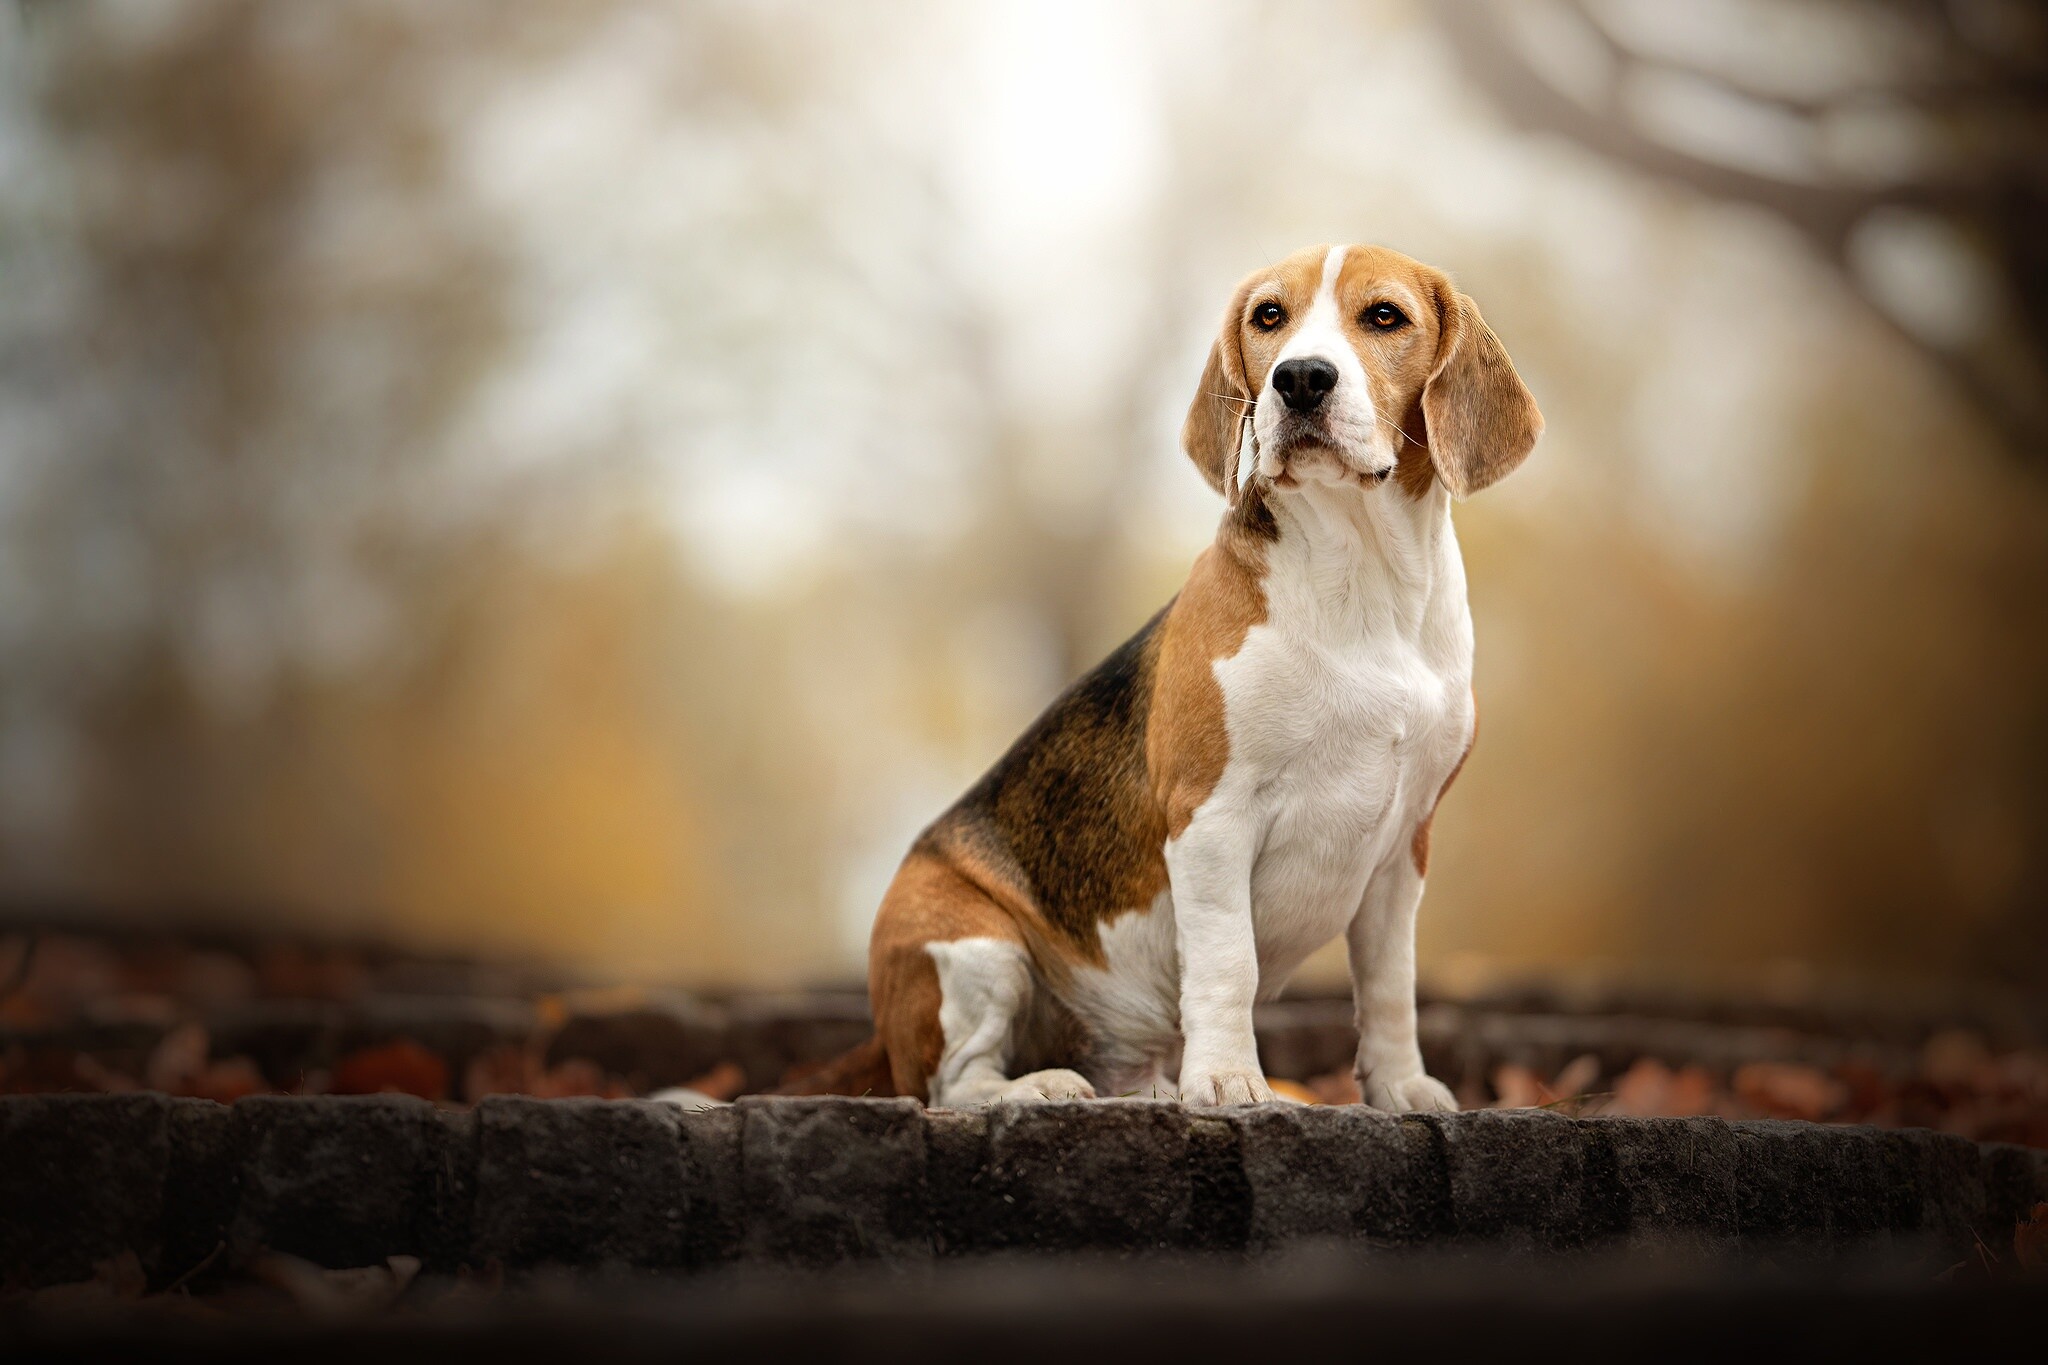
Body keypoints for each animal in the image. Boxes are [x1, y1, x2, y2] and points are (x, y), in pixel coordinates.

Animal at [798, 242, 1540, 1113]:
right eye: (1269, 316)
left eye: (1385, 316)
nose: (1300, 379)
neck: (1362, 581)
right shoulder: (1210, 817)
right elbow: (1228, 962)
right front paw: (1225, 1077)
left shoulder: (1403, 848)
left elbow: (1391, 984)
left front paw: (1400, 1087)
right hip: (973, 943)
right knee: (952, 1082)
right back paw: (1042, 1084)